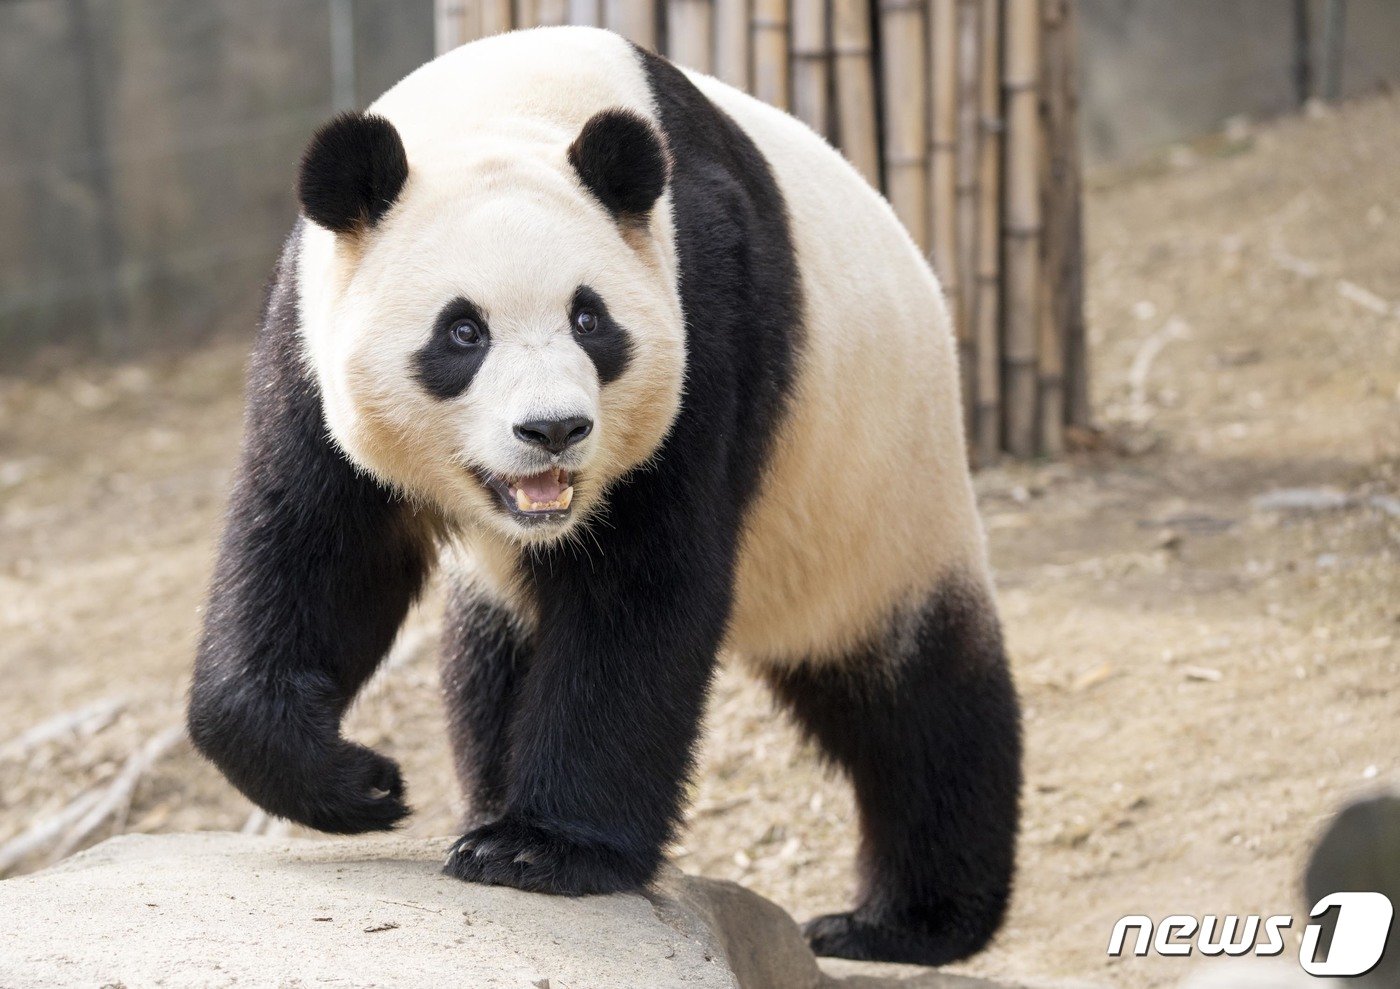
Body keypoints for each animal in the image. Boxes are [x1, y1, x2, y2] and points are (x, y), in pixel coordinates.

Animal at [189, 25, 1019, 963]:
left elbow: (641, 588)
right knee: (490, 660)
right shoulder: (308, 328)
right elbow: (316, 551)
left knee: (915, 698)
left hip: (876, 487)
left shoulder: (706, 299)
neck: (507, 103)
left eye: (591, 320)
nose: (553, 429)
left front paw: (543, 848)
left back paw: (907, 920)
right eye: (462, 331)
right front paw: (357, 781)